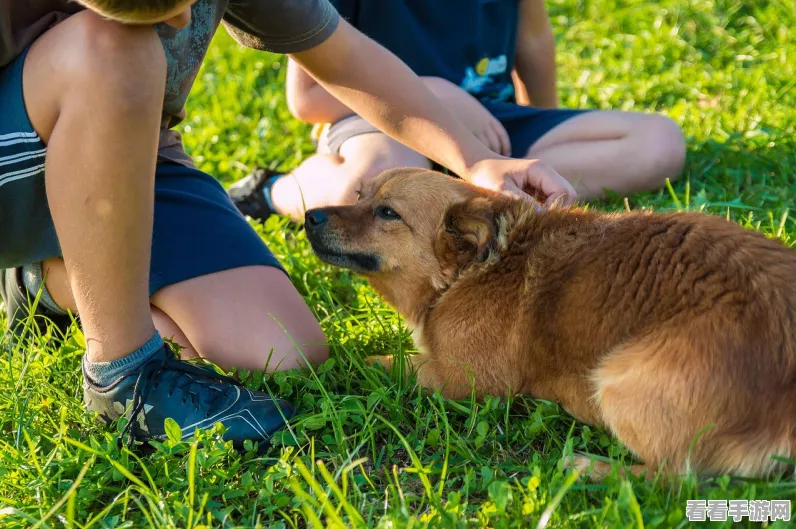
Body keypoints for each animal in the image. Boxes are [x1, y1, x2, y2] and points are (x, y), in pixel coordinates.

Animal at [304, 168, 796, 478]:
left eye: (387, 213)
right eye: (359, 195)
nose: (311, 216)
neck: (471, 271)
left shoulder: (460, 381)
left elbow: (388, 362)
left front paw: (352, 362)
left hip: (615, 382)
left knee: (674, 479)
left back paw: (590, 468)